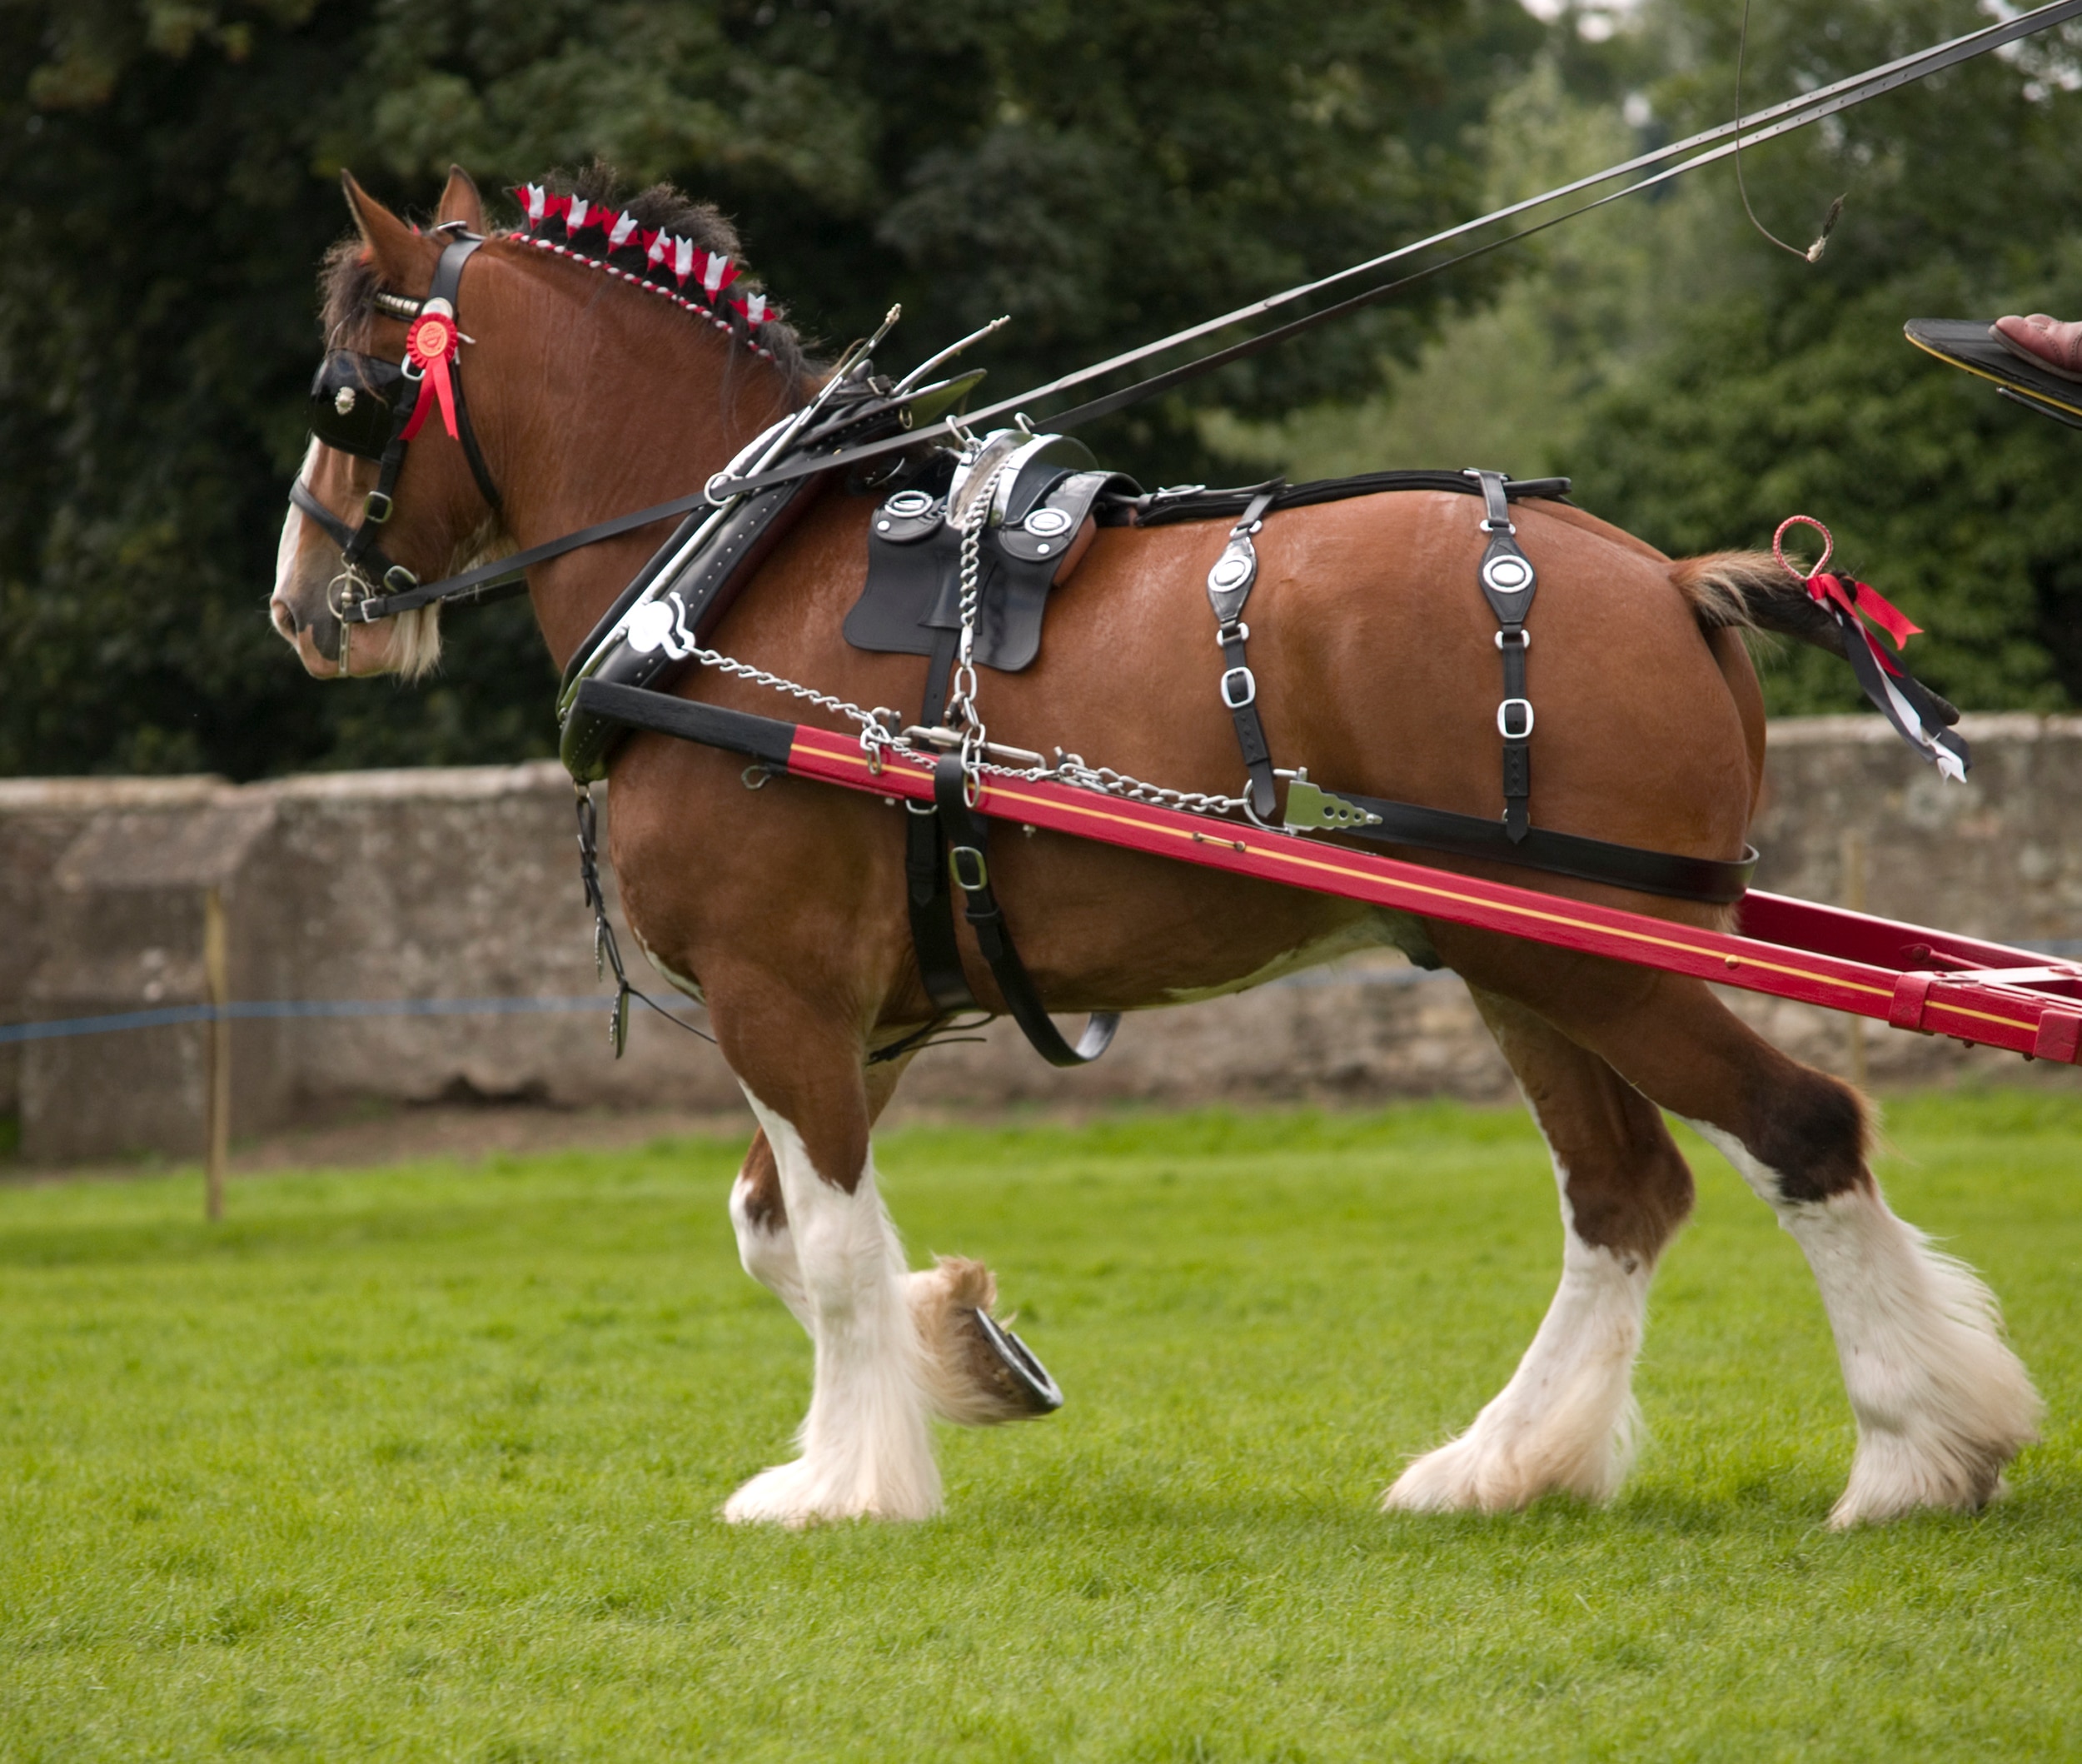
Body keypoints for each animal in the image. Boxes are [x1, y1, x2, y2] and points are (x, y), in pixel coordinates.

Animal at [268, 172, 2040, 1541]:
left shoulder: (780, 994)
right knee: (1625, 1191)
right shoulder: (863, 1012)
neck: (728, 577)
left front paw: (849, 1480)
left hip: (1585, 951)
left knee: (1797, 1131)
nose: (297, 600)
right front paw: (964, 1347)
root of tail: (1673, 581)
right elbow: (781, 1227)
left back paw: (1913, 1454)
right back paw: (1505, 1462)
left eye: (348, 391)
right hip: (1521, 958)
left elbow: (825, 1248)